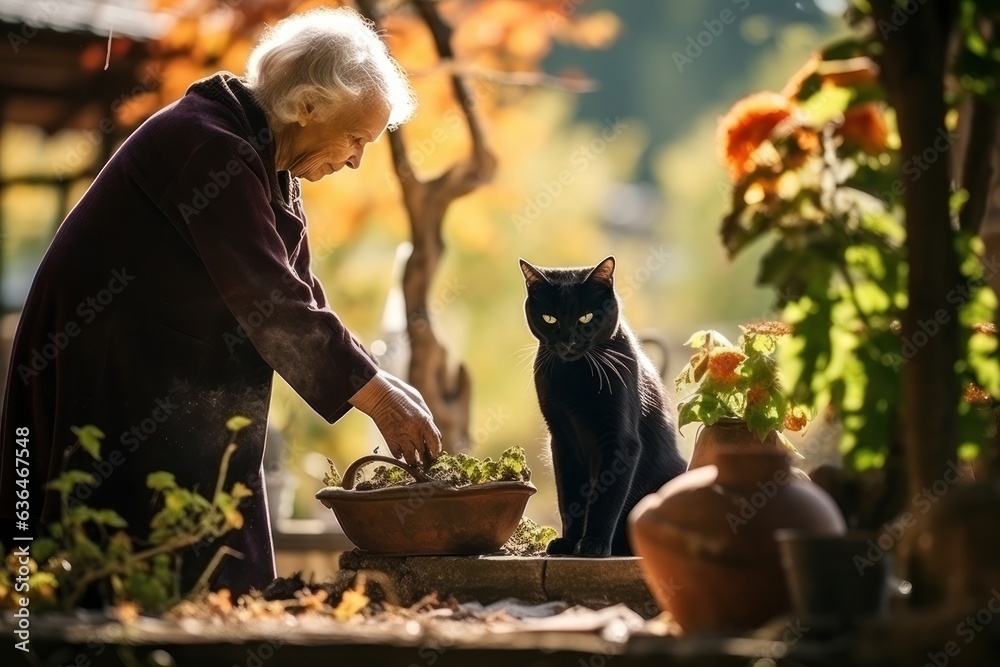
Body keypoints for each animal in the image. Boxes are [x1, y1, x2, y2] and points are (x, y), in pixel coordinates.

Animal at [516, 256, 688, 560]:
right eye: (549, 318)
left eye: (586, 317)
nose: (568, 342)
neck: (574, 375)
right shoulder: (562, 441)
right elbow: (570, 497)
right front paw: (569, 542)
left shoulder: (619, 440)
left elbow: (605, 497)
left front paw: (594, 543)